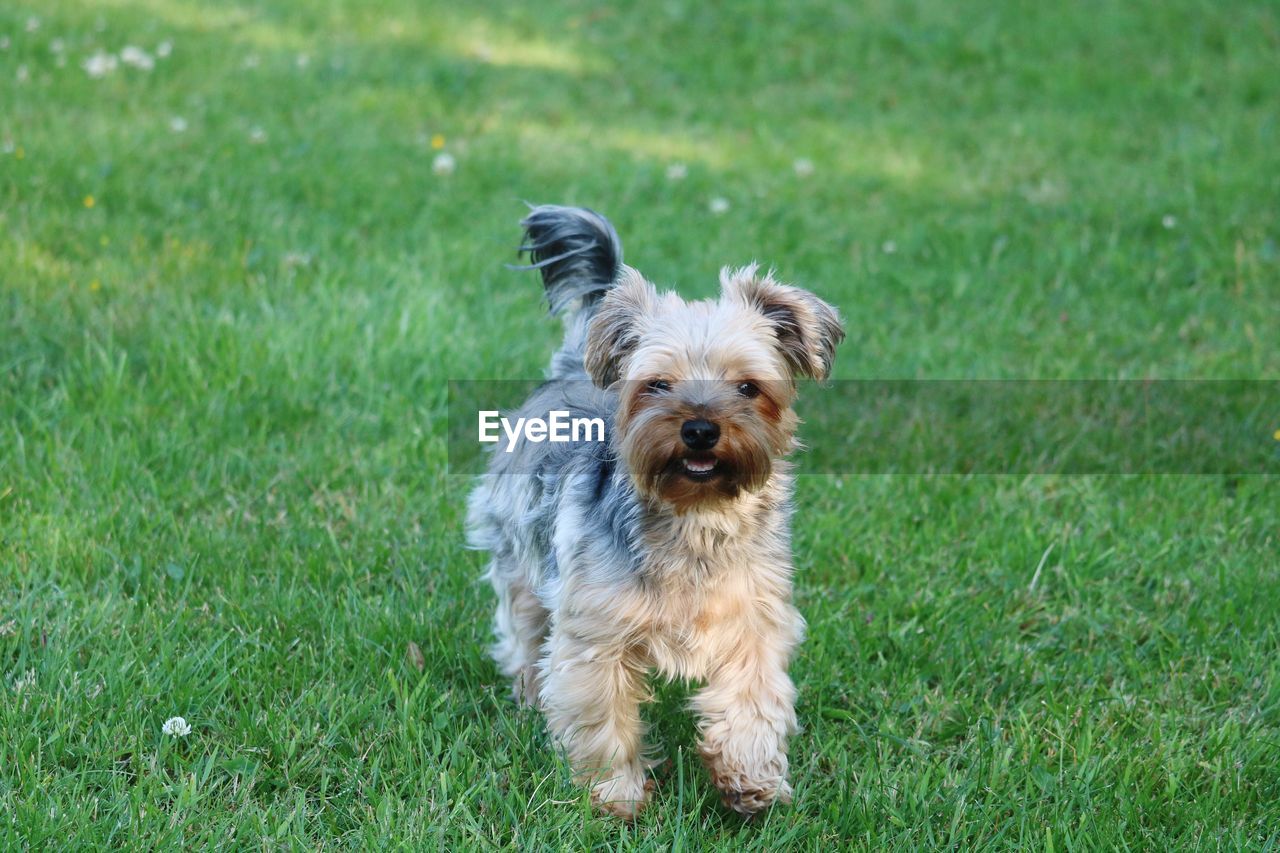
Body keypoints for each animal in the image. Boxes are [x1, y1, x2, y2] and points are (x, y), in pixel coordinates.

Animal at [465, 202, 844, 814]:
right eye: (658, 384)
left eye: (748, 386)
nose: (700, 429)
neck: (696, 516)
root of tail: (572, 368)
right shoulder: (595, 633)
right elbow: (601, 718)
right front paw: (615, 797)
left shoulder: (754, 620)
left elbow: (752, 700)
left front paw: (749, 782)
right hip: (518, 550)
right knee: (523, 626)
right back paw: (526, 692)